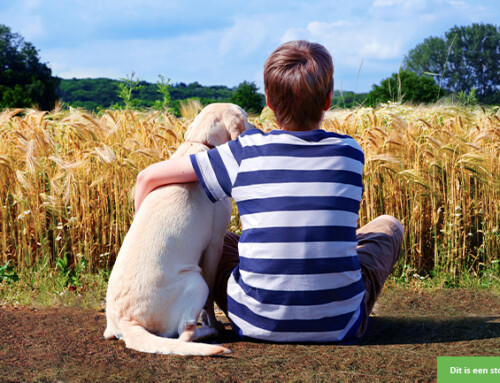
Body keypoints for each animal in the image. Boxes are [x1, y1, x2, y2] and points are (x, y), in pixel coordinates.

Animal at [105, 104, 252, 356]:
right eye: (245, 116)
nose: (256, 127)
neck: (201, 143)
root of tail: (127, 322)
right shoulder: (215, 243)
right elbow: (210, 299)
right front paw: (213, 321)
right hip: (195, 281)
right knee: (185, 333)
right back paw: (210, 333)